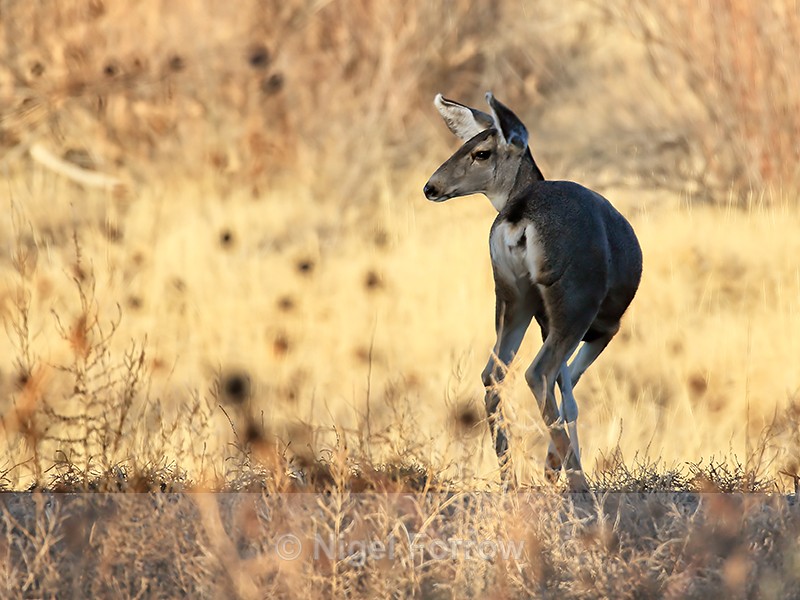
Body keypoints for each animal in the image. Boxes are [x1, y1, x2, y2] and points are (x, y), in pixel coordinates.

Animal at [423, 93, 642, 491]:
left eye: (479, 151)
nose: (430, 187)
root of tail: (518, 215)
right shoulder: (605, 326)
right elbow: (571, 390)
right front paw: (555, 465)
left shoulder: (544, 320)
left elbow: (565, 386)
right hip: (575, 301)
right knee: (538, 372)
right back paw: (576, 480)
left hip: (512, 295)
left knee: (494, 373)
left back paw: (509, 476)